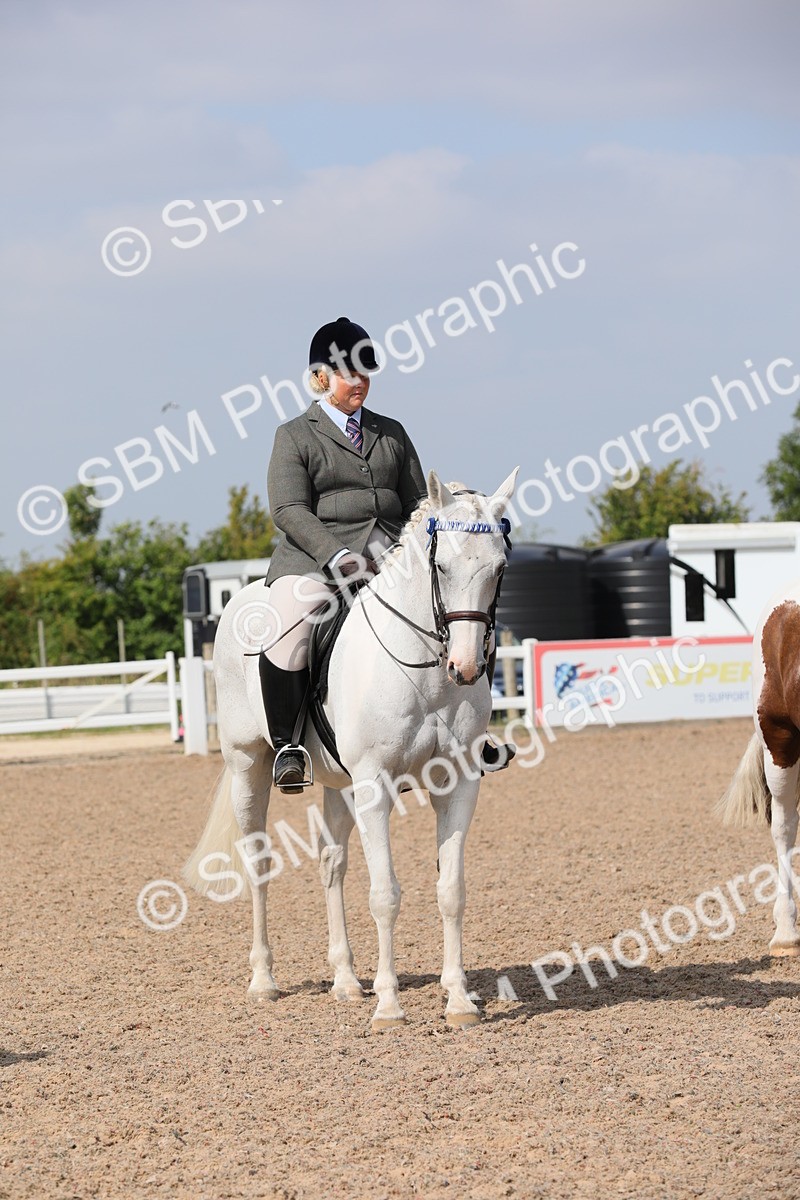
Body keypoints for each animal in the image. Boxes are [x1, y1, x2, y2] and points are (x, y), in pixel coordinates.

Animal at [183, 467, 519, 1030]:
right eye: (442, 567)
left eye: (499, 568)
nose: (467, 667)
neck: (423, 666)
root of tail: (239, 600)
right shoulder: (375, 786)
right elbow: (385, 895)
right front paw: (389, 1005)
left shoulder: (457, 785)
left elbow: (451, 892)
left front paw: (458, 1000)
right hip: (248, 767)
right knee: (258, 865)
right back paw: (264, 981)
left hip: (340, 786)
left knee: (331, 864)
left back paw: (344, 979)